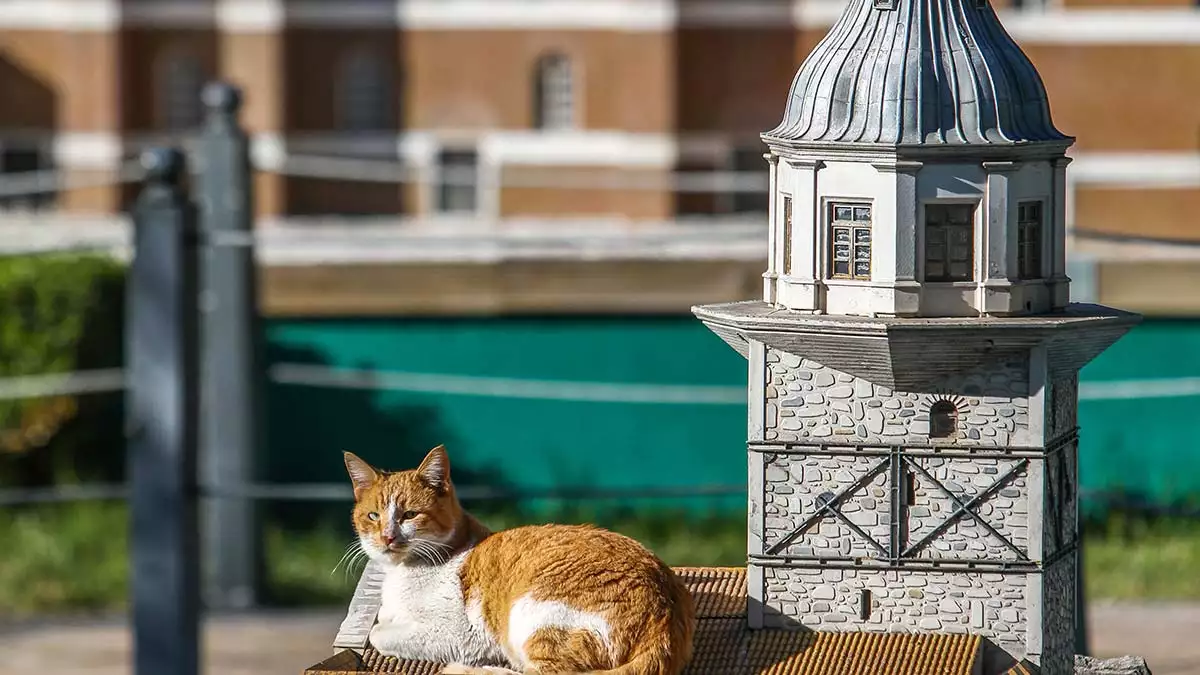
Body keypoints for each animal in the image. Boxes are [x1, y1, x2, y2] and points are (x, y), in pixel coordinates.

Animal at [343, 441, 696, 672]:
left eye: (409, 515)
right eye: (373, 516)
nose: (388, 536)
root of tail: (665, 621)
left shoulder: (461, 634)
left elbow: (378, 632)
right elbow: (383, 621)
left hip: (531, 616)